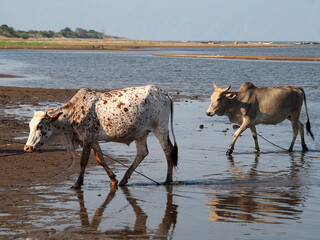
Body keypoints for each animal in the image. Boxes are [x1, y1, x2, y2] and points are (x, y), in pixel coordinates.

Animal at [23, 85, 179, 188]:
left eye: (40, 126)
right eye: (30, 126)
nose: (27, 148)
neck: (72, 114)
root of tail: (163, 92)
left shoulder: (87, 139)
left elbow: (83, 161)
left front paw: (77, 183)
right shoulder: (93, 140)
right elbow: (100, 159)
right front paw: (113, 179)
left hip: (160, 129)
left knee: (168, 151)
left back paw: (168, 180)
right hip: (141, 133)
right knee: (142, 153)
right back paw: (124, 179)